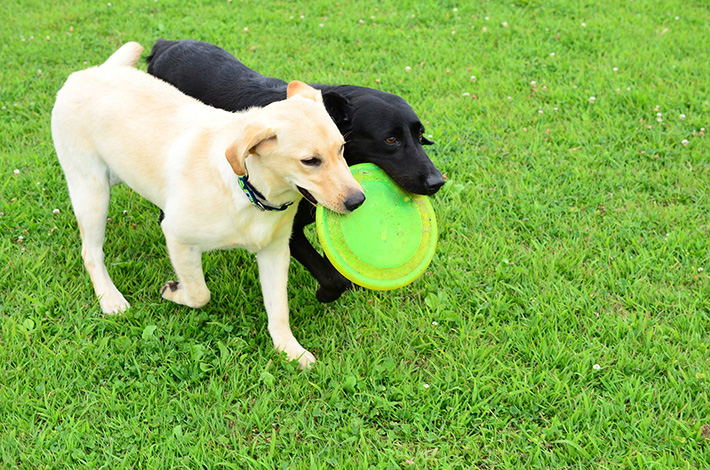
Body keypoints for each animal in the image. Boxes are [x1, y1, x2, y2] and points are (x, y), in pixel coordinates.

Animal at [52, 43, 364, 368]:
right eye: (310, 161)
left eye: (342, 148)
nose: (359, 200)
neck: (250, 193)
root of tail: (91, 72)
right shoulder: (177, 237)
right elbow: (200, 293)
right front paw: (174, 292)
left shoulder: (275, 251)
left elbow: (279, 309)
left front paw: (289, 350)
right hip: (92, 192)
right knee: (91, 253)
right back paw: (110, 298)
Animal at [146, 38, 444, 302]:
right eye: (390, 140)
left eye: (420, 136)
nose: (437, 182)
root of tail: (165, 44)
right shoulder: (286, 229)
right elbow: (334, 278)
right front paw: (326, 293)